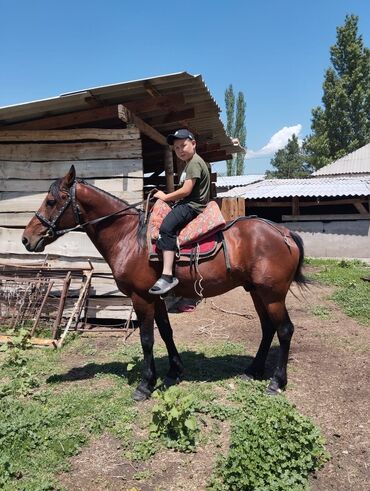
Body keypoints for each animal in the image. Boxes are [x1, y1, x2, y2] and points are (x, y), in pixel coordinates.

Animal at [21, 167, 308, 402]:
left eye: (51, 201)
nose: (26, 239)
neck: (129, 236)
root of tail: (284, 233)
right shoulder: (155, 297)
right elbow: (167, 332)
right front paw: (173, 372)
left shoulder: (141, 298)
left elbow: (147, 339)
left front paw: (145, 384)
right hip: (257, 292)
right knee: (268, 328)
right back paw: (253, 371)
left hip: (272, 295)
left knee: (284, 330)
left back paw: (276, 382)